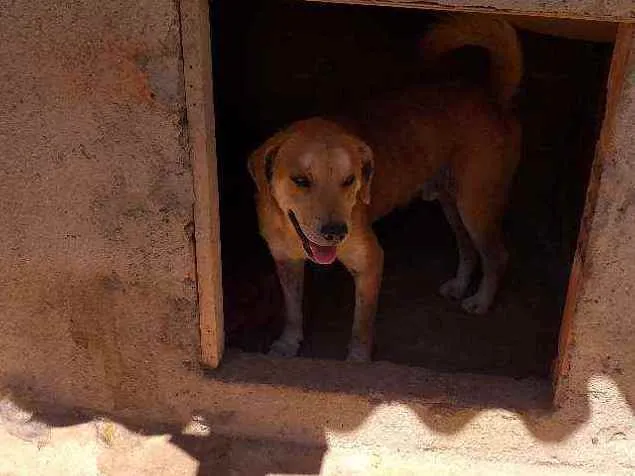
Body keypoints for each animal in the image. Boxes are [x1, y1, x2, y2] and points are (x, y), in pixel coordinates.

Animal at [247, 14, 520, 362]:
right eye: (301, 181)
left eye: (349, 180)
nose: (336, 232)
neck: (290, 228)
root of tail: (493, 98)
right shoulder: (286, 262)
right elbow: (293, 310)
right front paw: (288, 343)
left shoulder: (370, 262)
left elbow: (361, 324)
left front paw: (358, 361)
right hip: (453, 206)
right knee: (469, 249)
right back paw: (460, 286)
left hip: (476, 206)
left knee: (496, 256)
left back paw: (481, 301)